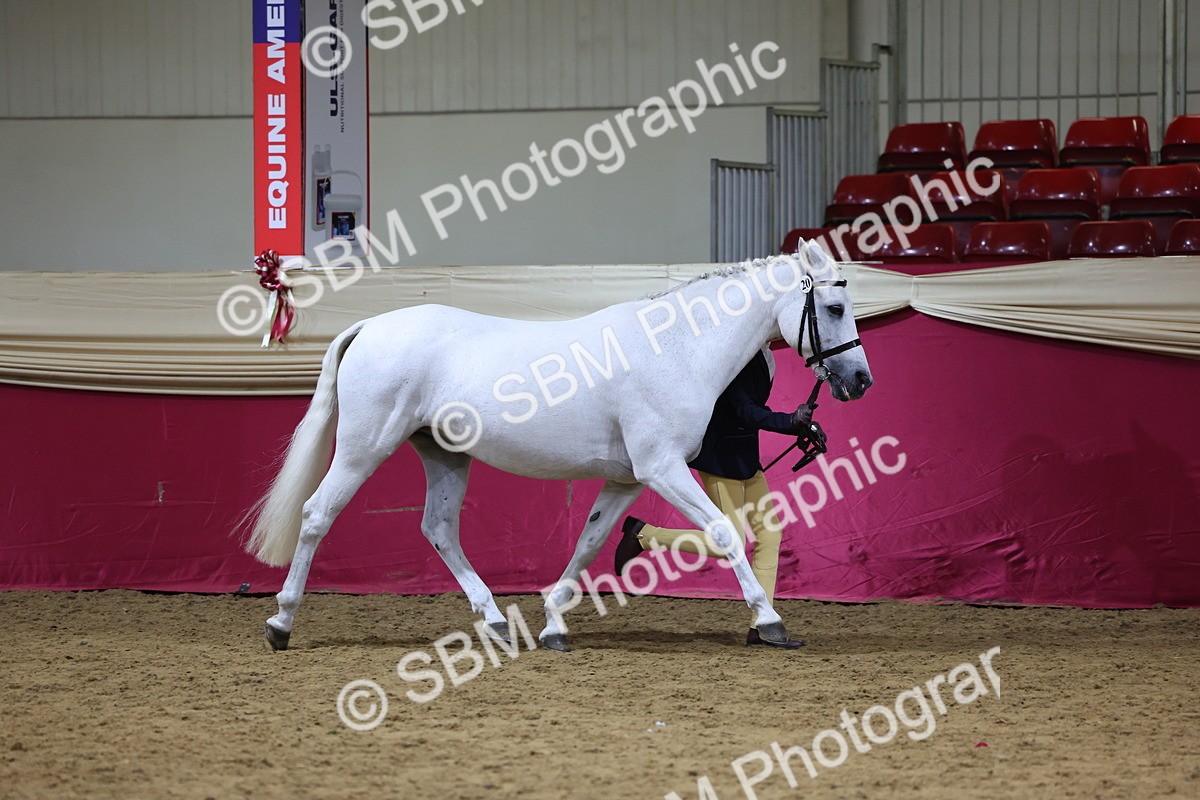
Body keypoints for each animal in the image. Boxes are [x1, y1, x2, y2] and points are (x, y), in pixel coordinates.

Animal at [244, 242, 872, 651]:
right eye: (835, 307)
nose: (860, 380)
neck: (675, 348)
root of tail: (369, 326)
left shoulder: (627, 478)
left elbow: (590, 542)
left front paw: (551, 625)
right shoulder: (663, 468)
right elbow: (722, 533)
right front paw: (769, 622)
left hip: (444, 455)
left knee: (440, 529)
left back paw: (497, 622)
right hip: (362, 448)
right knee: (317, 516)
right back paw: (280, 624)